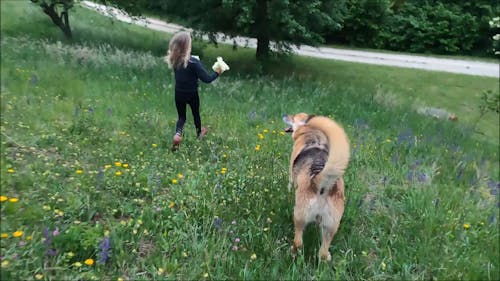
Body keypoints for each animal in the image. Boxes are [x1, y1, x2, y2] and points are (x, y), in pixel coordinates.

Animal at [284, 112, 350, 260]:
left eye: (293, 117)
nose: (284, 115)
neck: (313, 133)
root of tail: (323, 185)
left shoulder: (291, 175)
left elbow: (290, 184)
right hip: (331, 226)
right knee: (323, 253)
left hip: (299, 216)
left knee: (299, 242)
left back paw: (292, 253)